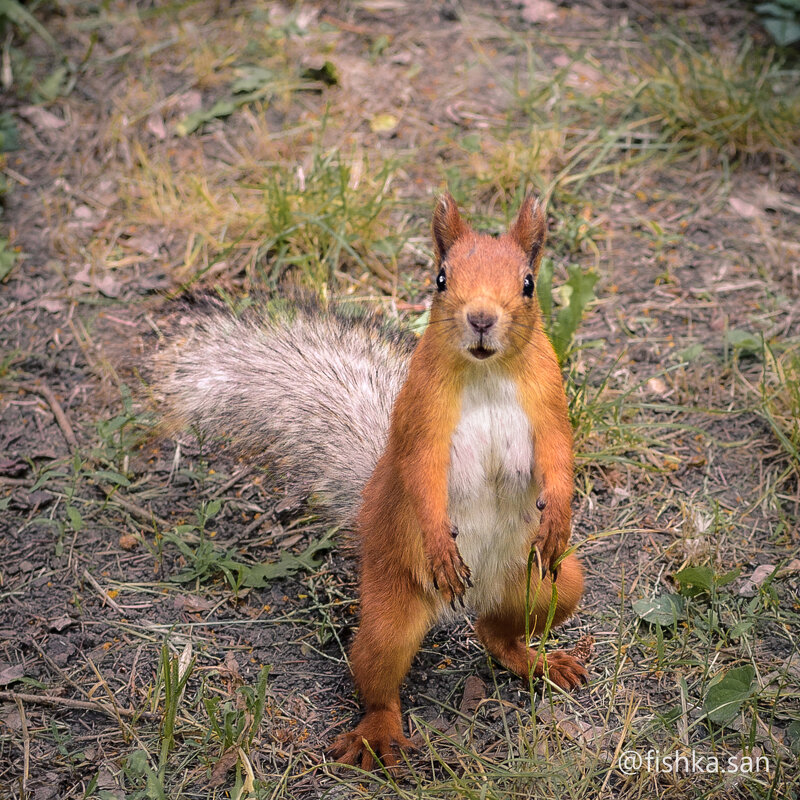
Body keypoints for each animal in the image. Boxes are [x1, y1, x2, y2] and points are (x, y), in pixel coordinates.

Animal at [156, 194, 592, 768]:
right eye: (441, 278)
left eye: (528, 283)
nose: (480, 319)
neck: (487, 372)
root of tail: (471, 599)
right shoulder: (421, 417)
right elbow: (421, 474)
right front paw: (440, 542)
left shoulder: (548, 400)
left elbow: (560, 458)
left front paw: (558, 517)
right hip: (391, 610)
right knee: (377, 674)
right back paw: (376, 732)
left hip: (551, 587)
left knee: (496, 633)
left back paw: (538, 662)